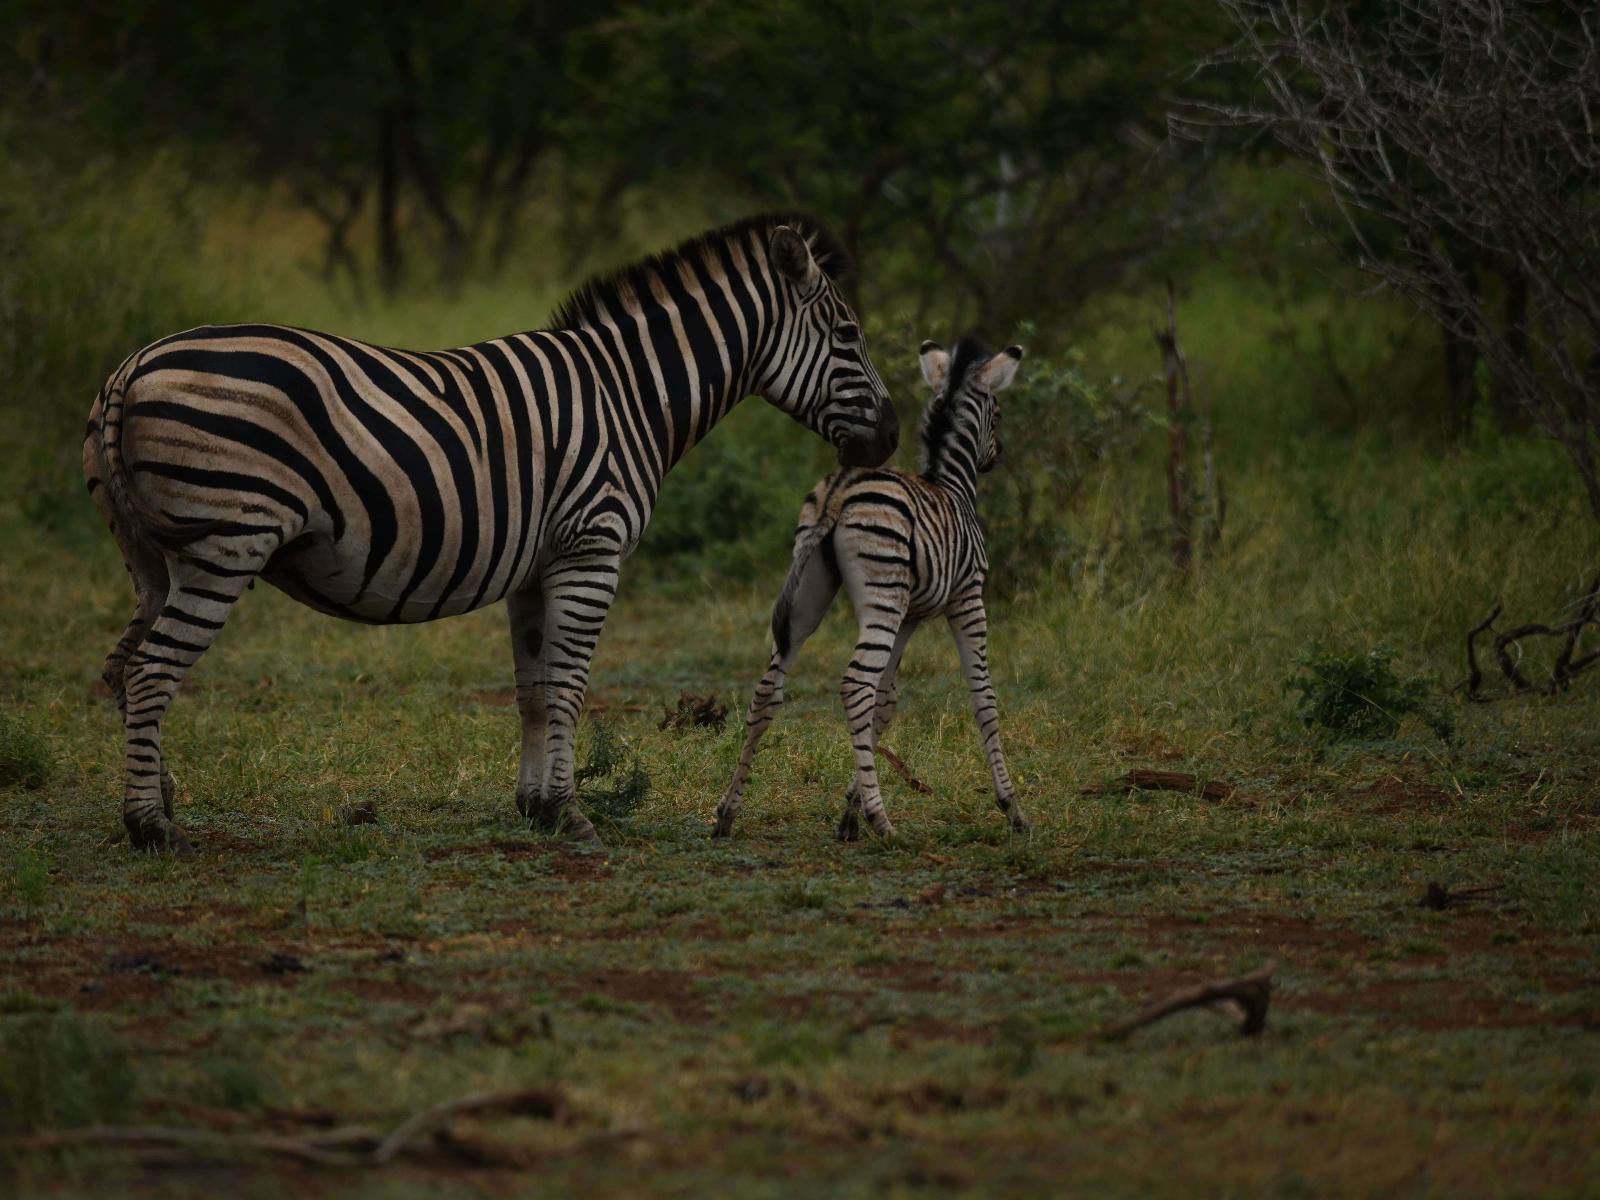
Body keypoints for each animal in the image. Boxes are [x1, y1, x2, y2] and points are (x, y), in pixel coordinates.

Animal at [84, 216, 902, 857]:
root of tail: (132, 367)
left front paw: (535, 807)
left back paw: (161, 801)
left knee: (125, 668)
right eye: (850, 334)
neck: (631, 394)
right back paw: (152, 827)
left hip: (152, 557)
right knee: (153, 672)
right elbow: (570, 685)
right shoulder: (590, 550)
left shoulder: (538, 568)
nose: (892, 438)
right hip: (226, 545)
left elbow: (533, 690)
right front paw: (572, 814)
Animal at [713, 336, 1024, 844]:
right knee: (855, 685)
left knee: (767, 691)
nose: (997, 454)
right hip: (880, 598)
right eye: (996, 414)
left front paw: (850, 812)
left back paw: (727, 813)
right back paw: (885, 822)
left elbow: (886, 702)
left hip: (815, 595)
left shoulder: (910, 616)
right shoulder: (968, 598)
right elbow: (984, 697)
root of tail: (841, 488)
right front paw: (1012, 808)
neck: (953, 486)